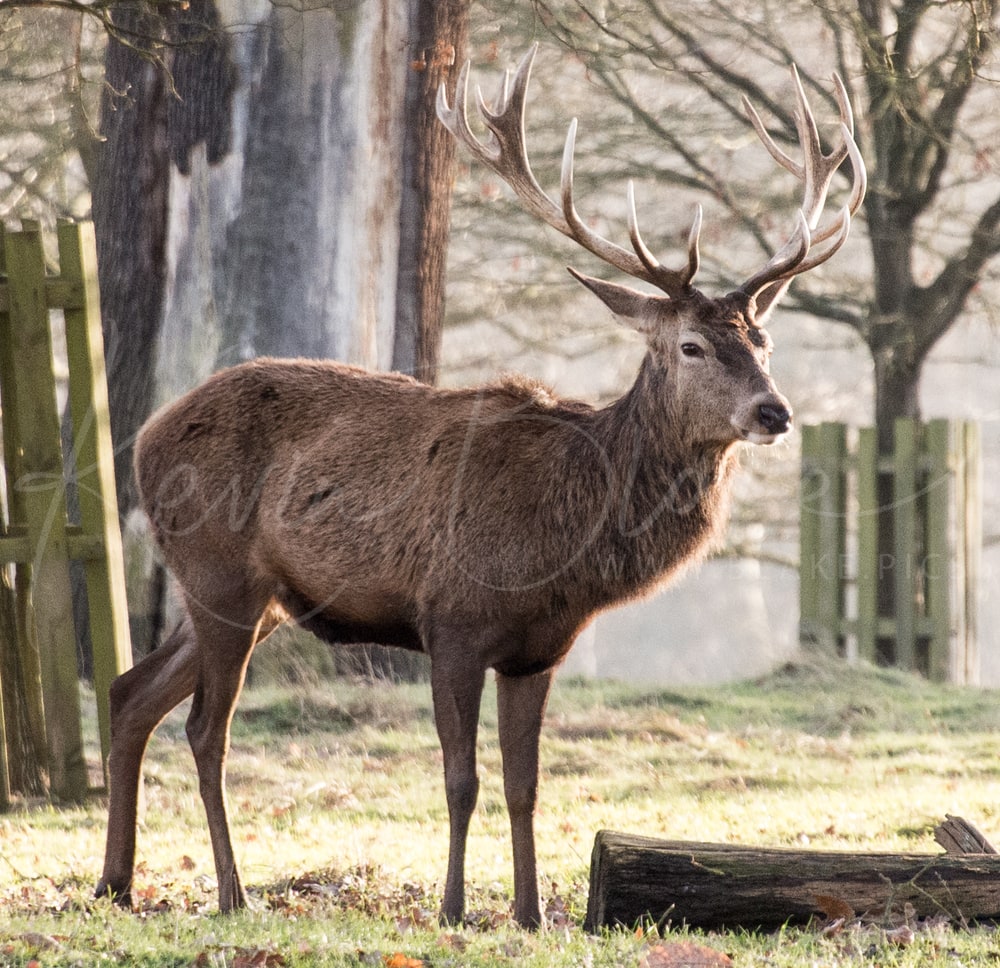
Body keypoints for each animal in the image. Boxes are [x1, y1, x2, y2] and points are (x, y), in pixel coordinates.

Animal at [95, 47, 865, 928]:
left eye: (762, 340)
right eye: (693, 346)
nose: (776, 410)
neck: (563, 546)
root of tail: (143, 440)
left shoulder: (538, 649)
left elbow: (526, 786)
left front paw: (529, 914)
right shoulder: (453, 619)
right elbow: (461, 779)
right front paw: (454, 908)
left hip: (248, 598)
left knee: (130, 692)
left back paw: (115, 881)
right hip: (221, 576)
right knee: (204, 730)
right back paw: (232, 893)